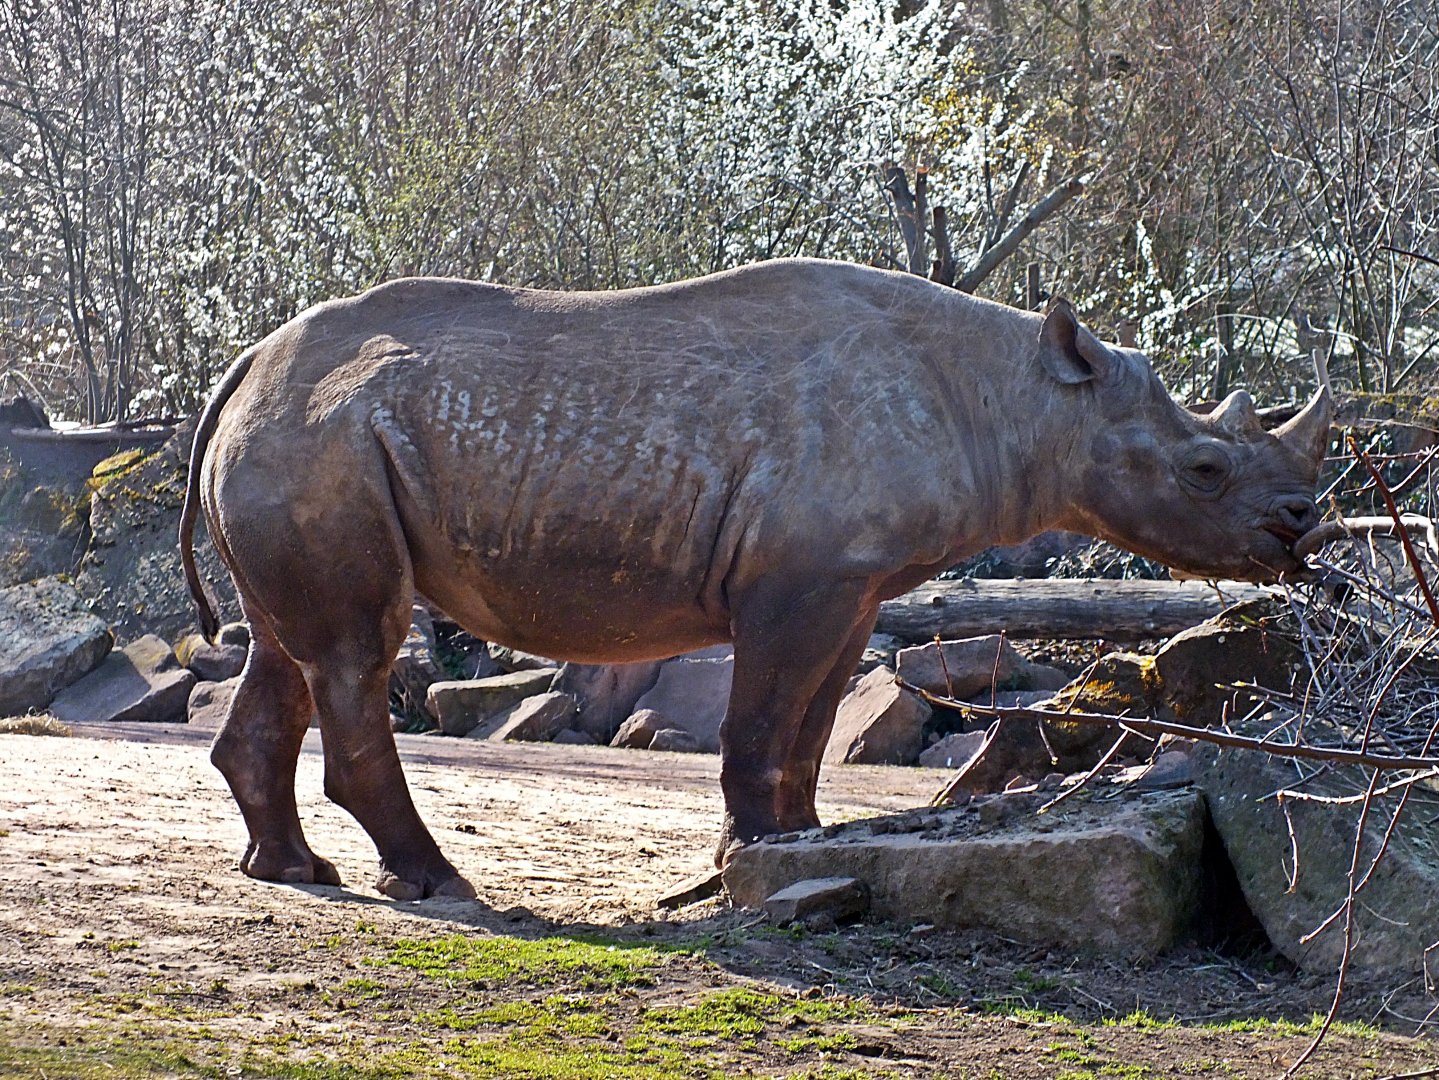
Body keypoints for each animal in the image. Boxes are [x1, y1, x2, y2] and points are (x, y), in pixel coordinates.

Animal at [179, 259, 1329, 901]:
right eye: (1204, 470)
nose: (1301, 528)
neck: (1027, 399)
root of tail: (242, 367)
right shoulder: (796, 577)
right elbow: (763, 716)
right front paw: (752, 850)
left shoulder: (854, 583)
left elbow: (813, 725)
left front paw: (802, 842)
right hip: (322, 441)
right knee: (354, 651)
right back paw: (439, 885)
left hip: (302, 440)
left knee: (287, 647)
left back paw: (295, 874)